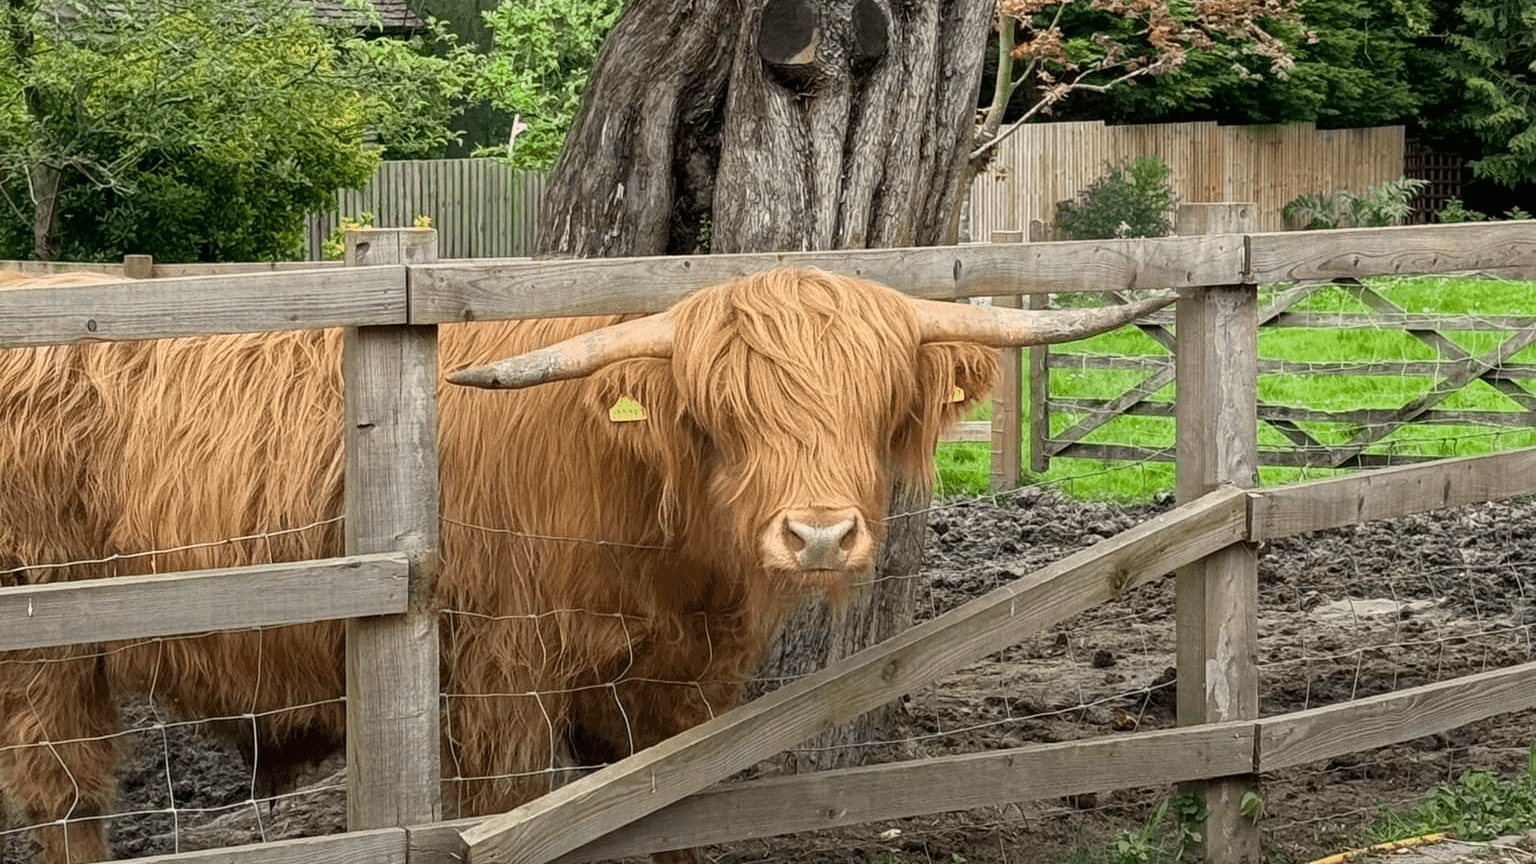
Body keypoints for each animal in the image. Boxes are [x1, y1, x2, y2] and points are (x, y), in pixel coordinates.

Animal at [0, 266, 1171, 863]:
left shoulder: (679, 681)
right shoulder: (502, 677)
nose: (820, 536)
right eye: (719, 413)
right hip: (44, 642)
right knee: (63, 794)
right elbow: (514, 804)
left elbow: (663, 804)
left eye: (876, 397)